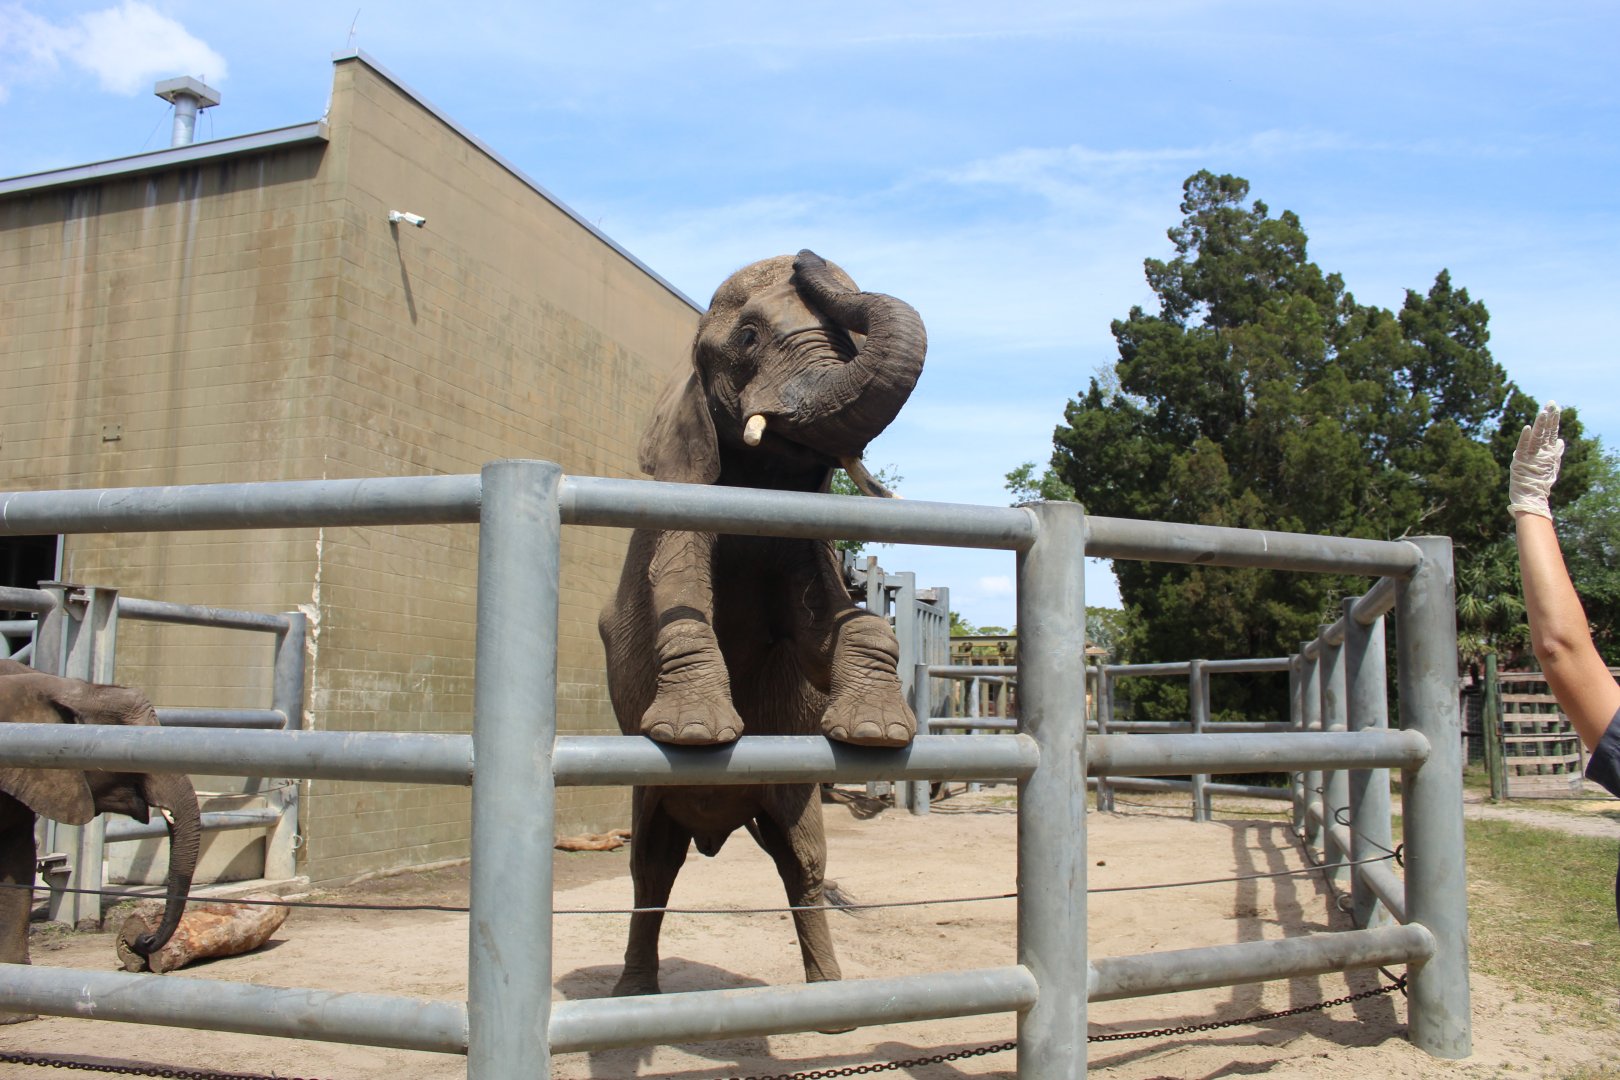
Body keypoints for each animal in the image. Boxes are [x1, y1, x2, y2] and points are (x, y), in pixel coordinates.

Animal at [598, 250, 926, 996]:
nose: (808, 256)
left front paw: (876, 733)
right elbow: (679, 606)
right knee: (650, 871)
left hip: (793, 792)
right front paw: (695, 734)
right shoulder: (682, 498)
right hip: (649, 795)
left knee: (803, 866)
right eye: (747, 338)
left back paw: (831, 996)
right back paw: (632, 995)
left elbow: (834, 633)